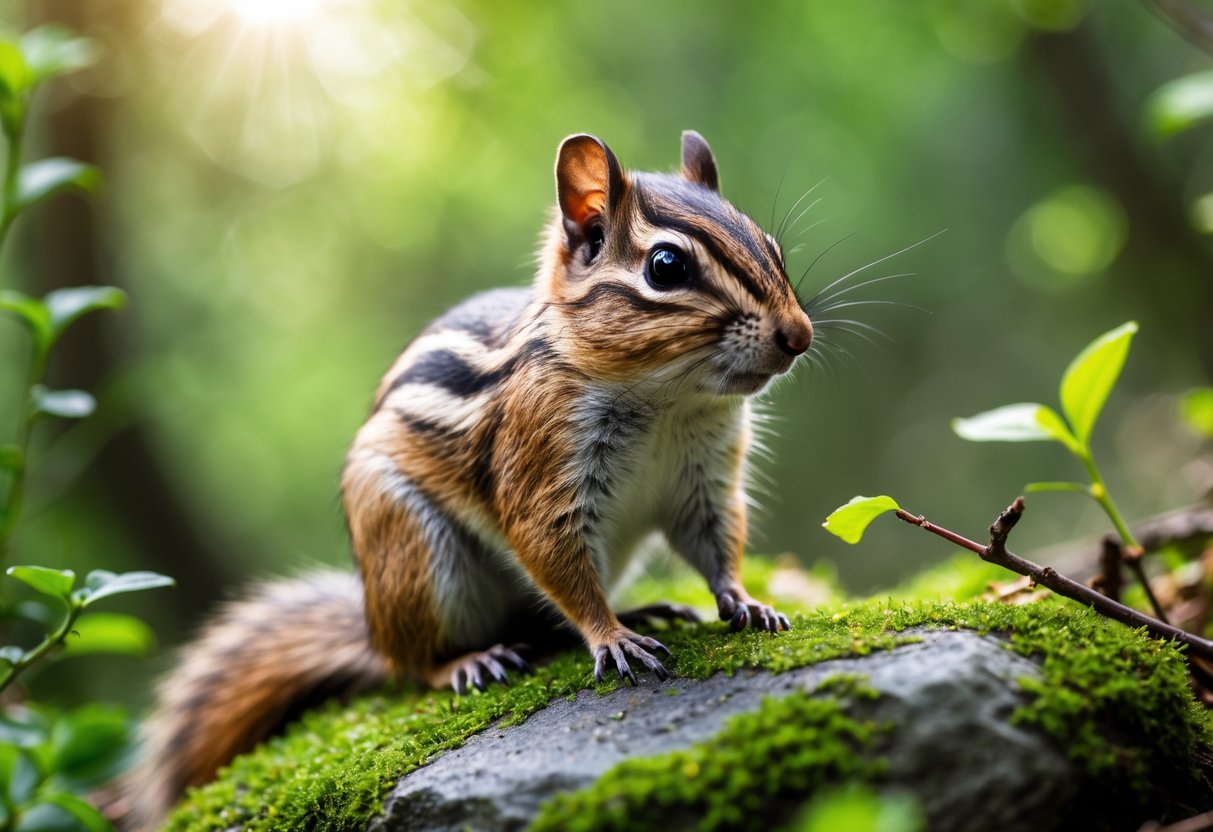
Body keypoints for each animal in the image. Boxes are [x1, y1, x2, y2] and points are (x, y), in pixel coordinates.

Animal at [127, 130, 813, 829]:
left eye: (774, 248)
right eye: (666, 267)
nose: (800, 335)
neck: (668, 400)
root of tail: (374, 628)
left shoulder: (705, 479)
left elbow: (716, 542)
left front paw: (746, 601)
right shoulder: (542, 472)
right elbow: (556, 559)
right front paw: (613, 638)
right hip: (415, 555)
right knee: (415, 666)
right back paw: (470, 661)